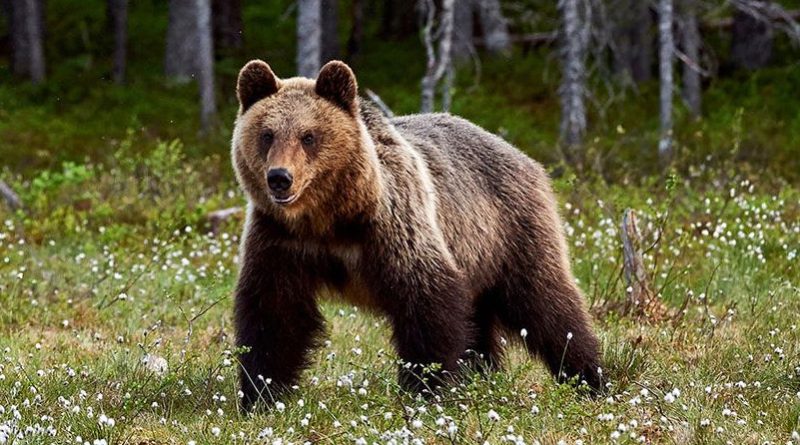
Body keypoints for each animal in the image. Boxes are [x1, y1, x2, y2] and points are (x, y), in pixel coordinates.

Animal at [231, 59, 602, 410]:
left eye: (309, 136)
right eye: (267, 134)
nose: (280, 178)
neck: (329, 219)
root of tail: (519, 153)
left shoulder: (394, 227)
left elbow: (426, 301)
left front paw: (423, 387)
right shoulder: (281, 240)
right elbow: (273, 313)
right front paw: (261, 394)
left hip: (511, 230)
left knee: (545, 302)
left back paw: (589, 378)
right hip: (475, 258)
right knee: (482, 322)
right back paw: (483, 375)